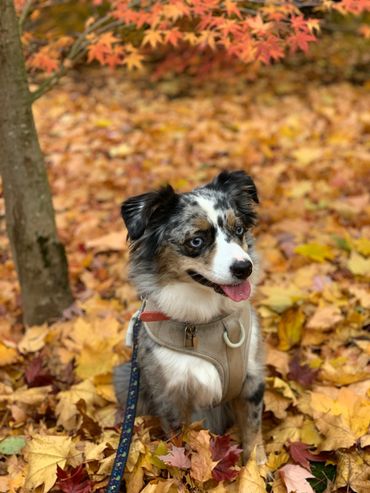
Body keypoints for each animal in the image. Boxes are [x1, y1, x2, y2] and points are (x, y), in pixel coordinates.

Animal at [114, 171, 264, 464]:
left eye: (239, 229)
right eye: (196, 241)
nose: (245, 268)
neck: (207, 322)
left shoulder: (251, 379)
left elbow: (253, 433)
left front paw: (258, 468)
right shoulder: (171, 394)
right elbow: (179, 445)